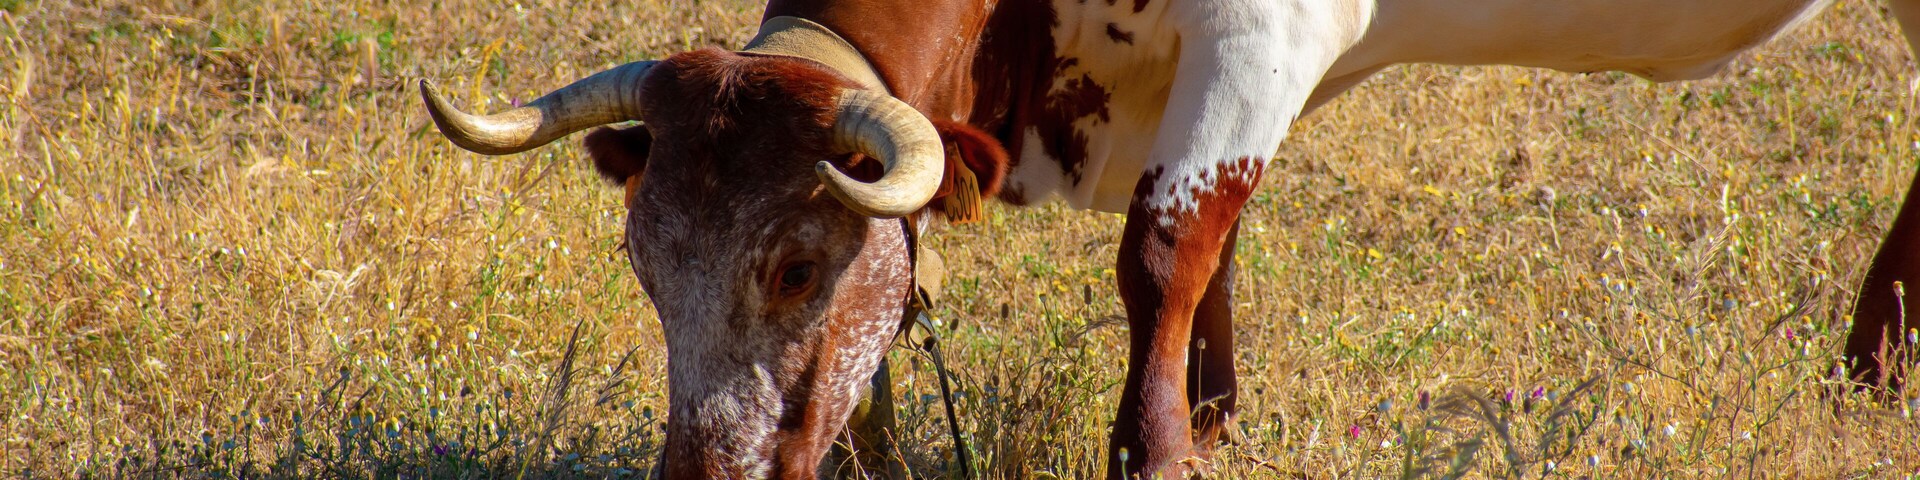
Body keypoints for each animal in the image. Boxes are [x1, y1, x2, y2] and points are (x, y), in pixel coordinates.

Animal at [418, 0, 1920, 477]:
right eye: (644, 264)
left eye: (791, 265)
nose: (705, 475)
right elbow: (1208, 267)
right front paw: (1219, 414)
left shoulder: (1264, 38)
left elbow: (1165, 254)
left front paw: (1162, 451)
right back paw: (1873, 368)